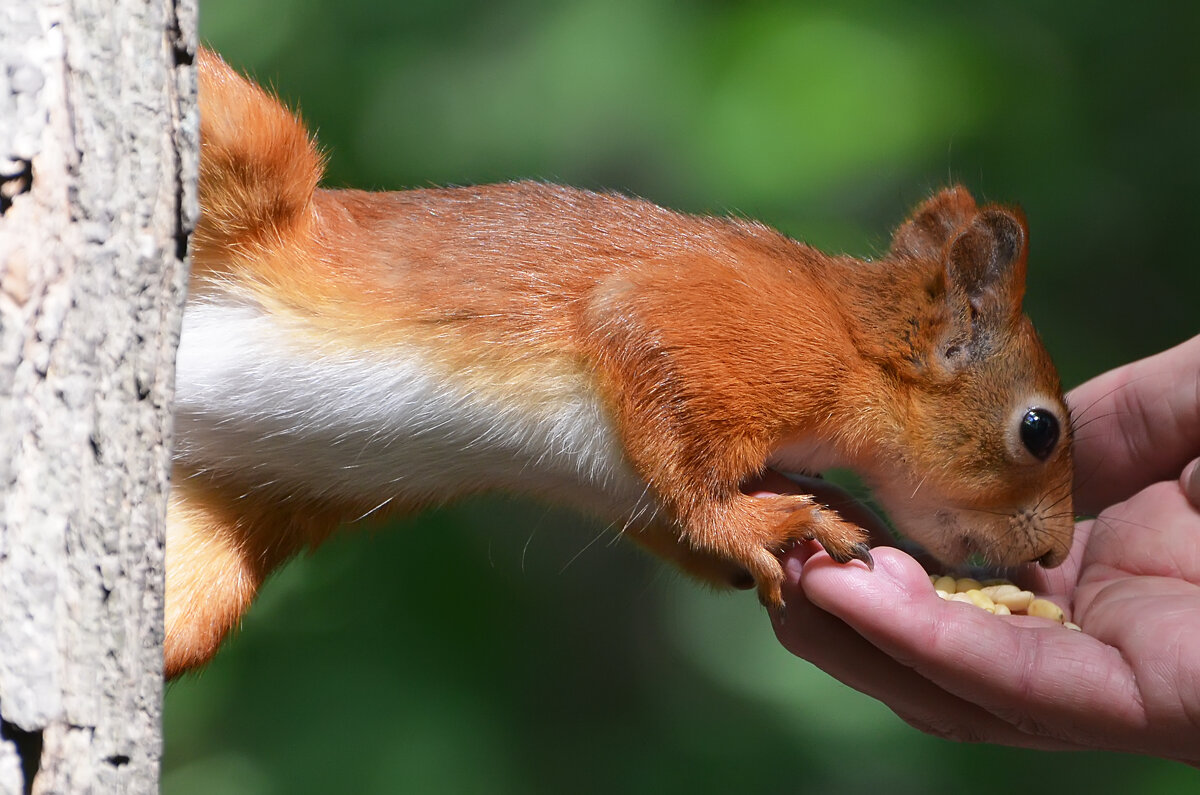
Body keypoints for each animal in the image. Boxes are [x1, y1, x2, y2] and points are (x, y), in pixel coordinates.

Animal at [164, 45, 1075, 677]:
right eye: (1040, 429)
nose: (1054, 557)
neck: (855, 344)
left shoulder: (614, 483)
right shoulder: (736, 332)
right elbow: (670, 418)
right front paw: (762, 524)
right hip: (260, 151)